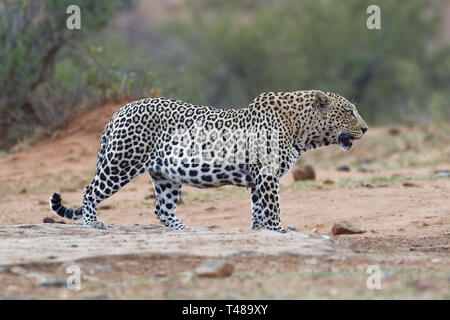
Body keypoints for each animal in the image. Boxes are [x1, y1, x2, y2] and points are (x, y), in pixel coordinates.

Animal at [49, 90, 368, 232]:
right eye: (350, 112)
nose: (365, 129)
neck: (302, 129)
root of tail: (119, 111)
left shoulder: (258, 178)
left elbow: (259, 208)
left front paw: (260, 231)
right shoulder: (266, 174)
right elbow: (273, 207)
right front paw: (278, 230)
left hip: (166, 175)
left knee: (161, 208)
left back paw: (183, 229)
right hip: (121, 162)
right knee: (90, 190)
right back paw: (93, 223)